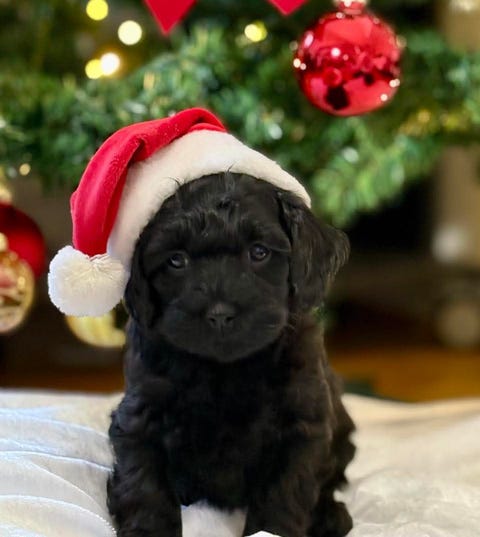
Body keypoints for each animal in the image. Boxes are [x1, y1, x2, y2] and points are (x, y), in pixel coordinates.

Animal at [107, 171, 355, 537]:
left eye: (259, 252)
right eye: (176, 260)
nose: (220, 314)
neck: (225, 369)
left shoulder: (301, 426)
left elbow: (284, 493)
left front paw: (271, 528)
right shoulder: (141, 416)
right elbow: (143, 484)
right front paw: (148, 530)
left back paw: (330, 516)